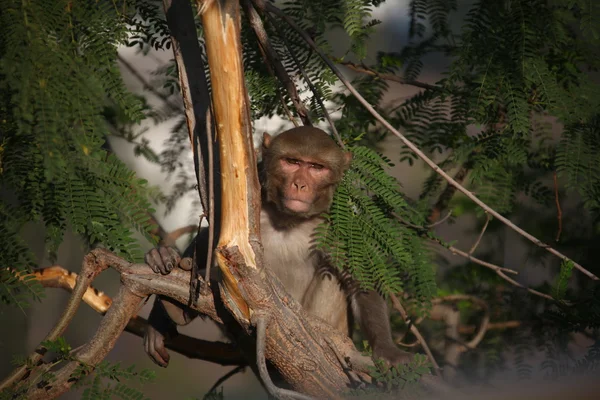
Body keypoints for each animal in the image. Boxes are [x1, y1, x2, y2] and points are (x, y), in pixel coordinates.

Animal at [144, 126, 412, 368]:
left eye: (316, 168)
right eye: (292, 162)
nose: (300, 184)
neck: (288, 220)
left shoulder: (337, 229)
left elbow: (359, 280)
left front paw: (387, 350)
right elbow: (211, 240)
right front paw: (159, 315)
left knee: (331, 277)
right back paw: (176, 307)